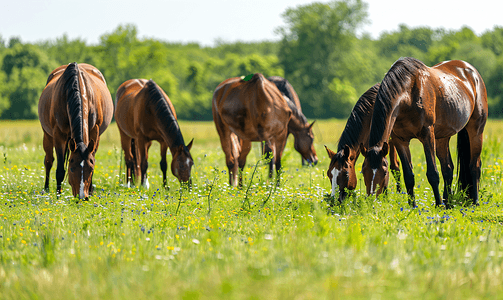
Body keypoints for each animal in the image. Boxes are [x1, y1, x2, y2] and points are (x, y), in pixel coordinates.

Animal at [39, 62, 114, 200]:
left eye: (90, 169)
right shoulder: (58, 135)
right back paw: (46, 189)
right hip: (47, 136)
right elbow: (60, 169)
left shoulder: (94, 132)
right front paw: (58, 196)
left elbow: (92, 157)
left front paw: (91, 191)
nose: (82, 196)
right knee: (48, 161)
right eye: (72, 169)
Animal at [362, 56, 488, 206]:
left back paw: (474, 201)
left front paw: (438, 204)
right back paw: (448, 204)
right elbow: (408, 176)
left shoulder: (427, 135)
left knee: (475, 166)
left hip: (476, 130)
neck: (409, 94)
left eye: (384, 172)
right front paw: (412, 206)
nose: (371, 200)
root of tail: (472, 72)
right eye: (363, 171)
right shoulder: (400, 140)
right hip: (442, 137)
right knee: (448, 168)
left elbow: (433, 173)